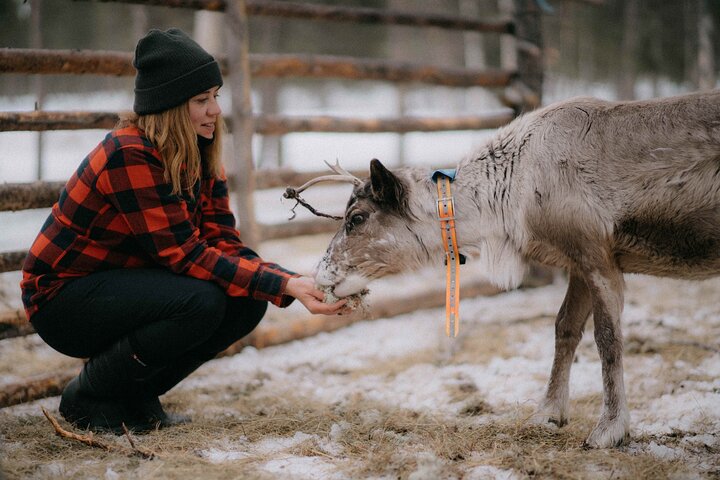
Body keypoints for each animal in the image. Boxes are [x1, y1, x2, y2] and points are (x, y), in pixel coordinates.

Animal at [286, 90, 720, 448]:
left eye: (356, 218)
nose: (320, 275)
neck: (508, 202)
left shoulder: (597, 255)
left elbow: (608, 339)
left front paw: (610, 429)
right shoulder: (579, 263)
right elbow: (564, 328)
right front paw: (548, 413)